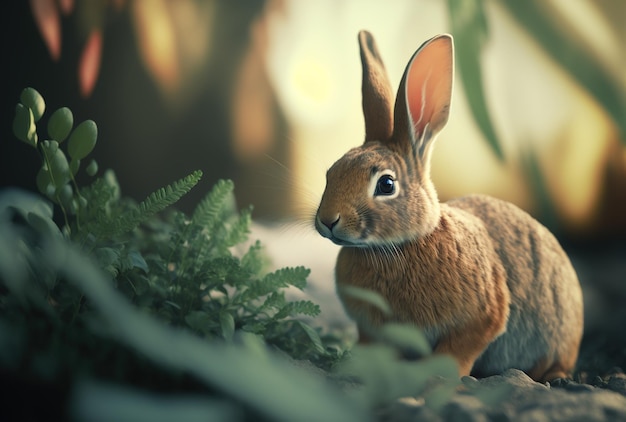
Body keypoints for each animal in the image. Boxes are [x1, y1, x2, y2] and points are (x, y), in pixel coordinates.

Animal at [314, 30, 584, 382]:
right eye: (331, 173)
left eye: (386, 185)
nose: (328, 220)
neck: (400, 245)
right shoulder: (371, 330)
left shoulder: (484, 316)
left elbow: (457, 351)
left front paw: (438, 376)